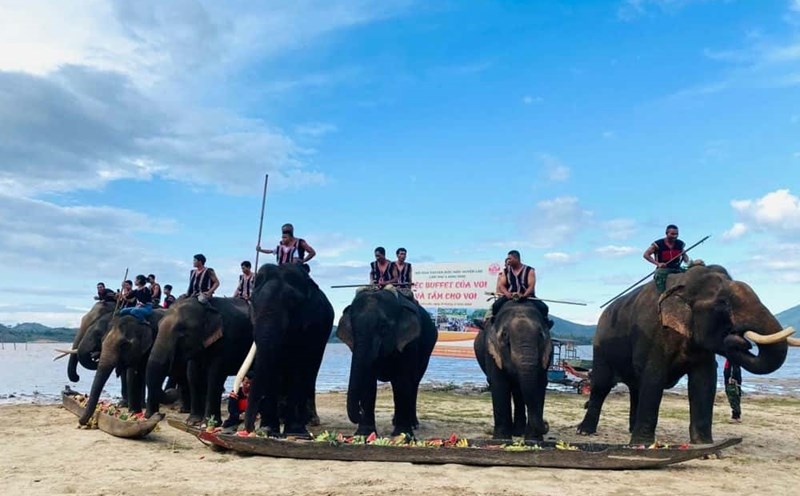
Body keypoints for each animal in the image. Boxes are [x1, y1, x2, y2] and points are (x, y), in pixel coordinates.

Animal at [145, 296, 253, 425]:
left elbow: (214, 376)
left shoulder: (225, 342)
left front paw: (208, 423)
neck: (207, 306)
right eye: (159, 325)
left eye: (183, 331)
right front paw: (192, 422)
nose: (172, 391)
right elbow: (192, 375)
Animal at [238, 263, 334, 437]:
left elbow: (299, 368)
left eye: (293, 303)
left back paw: (310, 421)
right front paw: (268, 430)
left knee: (310, 373)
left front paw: (295, 433)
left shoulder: (312, 326)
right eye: (252, 302)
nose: (250, 429)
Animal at [337, 288, 438, 437]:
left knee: (414, 383)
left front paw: (402, 435)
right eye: (353, 328)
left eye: (383, 327)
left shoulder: (410, 344)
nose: (360, 412)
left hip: (427, 352)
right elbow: (368, 381)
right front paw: (364, 434)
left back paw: (413, 424)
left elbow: (402, 381)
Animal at [473, 300, 553, 440]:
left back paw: (518, 432)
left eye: (540, 335)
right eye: (505, 335)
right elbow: (499, 384)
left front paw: (534, 439)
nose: (546, 423)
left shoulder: (547, 353)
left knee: (518, 391)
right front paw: (501, 439)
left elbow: (540, 383)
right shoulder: (492, 352)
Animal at [577, 263, 799, 445]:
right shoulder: (654, 335)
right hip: (600, 347)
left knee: (635, 388)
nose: (740, 340)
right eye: (723, 303)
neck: (683, 283)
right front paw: (642, 446)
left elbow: (704, 382)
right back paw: (585, 431)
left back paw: (631, 430)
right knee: (601, 385)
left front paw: (706, 449)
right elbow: (654, 378)